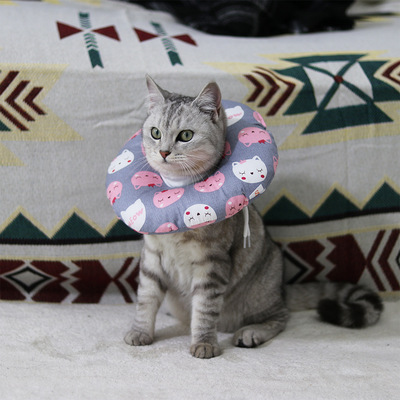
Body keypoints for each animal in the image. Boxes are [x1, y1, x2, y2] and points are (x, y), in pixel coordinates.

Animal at [124, 76, 383, 358]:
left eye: (186, 136)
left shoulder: (211, 264)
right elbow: (146, 300)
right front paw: (140, 332)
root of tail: (281, 290)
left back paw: (251, 333)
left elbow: (204, 311)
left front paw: (204, 343)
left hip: (259, 295)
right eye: (155, 133)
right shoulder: (152, 258)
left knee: (280, 316)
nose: (163, 152)